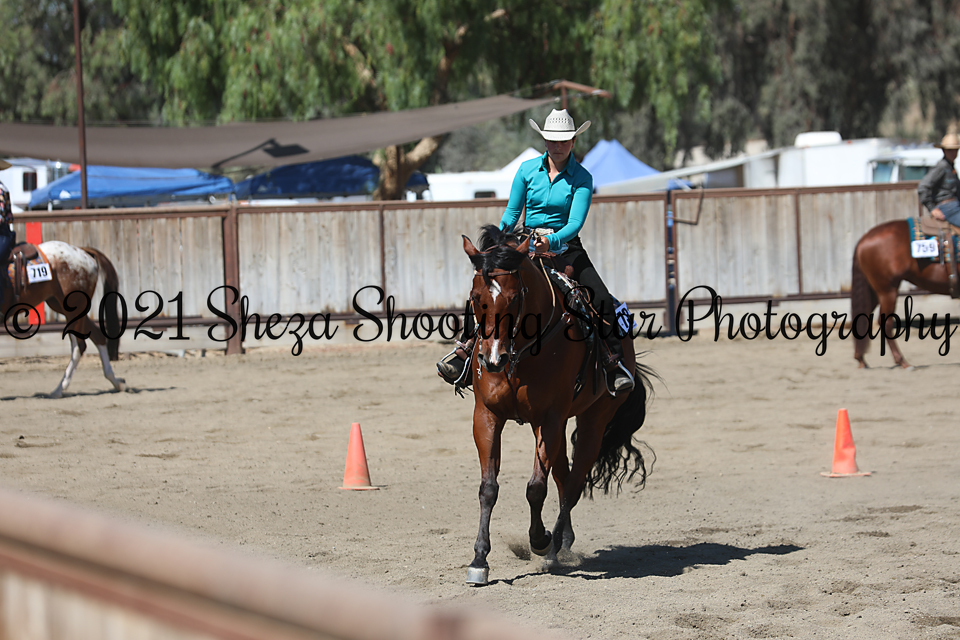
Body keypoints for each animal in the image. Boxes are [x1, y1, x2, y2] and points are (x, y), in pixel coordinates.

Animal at [1, 241, 126, 398]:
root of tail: (82, 251)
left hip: (73, 309)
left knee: (79, 347)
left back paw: (59, 390)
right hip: (65, 307)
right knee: (98, 337)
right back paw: (117, 382)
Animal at [461, 225, 654, 586]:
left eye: (515, 298)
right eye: (476, 298)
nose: (492, 360)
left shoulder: (549, 419)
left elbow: (536, 488)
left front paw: (540, 540)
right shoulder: (487, 416)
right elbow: (488, 488)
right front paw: (479, 559)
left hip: (593, 421)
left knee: (575, 481)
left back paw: (555, 547)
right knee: (564, 478)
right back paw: (564, 540)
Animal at [852, 218, 957, 368]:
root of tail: (863, 239)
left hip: (874, 292)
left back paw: (861, 359)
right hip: (887, 291)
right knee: (885, 323)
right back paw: (902, 362)